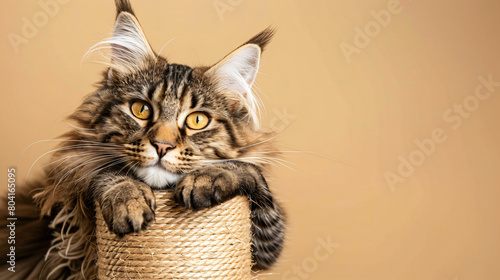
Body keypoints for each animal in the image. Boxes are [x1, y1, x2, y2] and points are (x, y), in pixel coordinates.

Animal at [0, 0, 286, 280]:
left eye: (197, 120)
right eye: (141, 109)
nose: (162, 146)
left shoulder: (264, 247)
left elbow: (249, 171)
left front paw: (206, 179)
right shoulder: (70, 211)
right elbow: (107, 172)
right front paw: (128, 202)